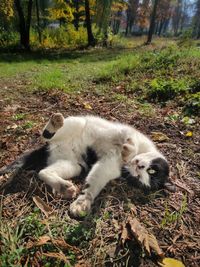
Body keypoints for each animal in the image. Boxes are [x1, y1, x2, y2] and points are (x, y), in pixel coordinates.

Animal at [0, 113, 172, 218]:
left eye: (138, 177)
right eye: (152, 170)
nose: (139, 166)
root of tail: (51, 148)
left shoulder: (107, 166)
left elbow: (92, 184)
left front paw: (82, 203)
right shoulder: (129, 133)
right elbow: (131, 144)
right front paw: (128, 150)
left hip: (74, 165)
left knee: (43, 172)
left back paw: (64, 187)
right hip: (77, 123)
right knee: (47, 135)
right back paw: (54, 123)